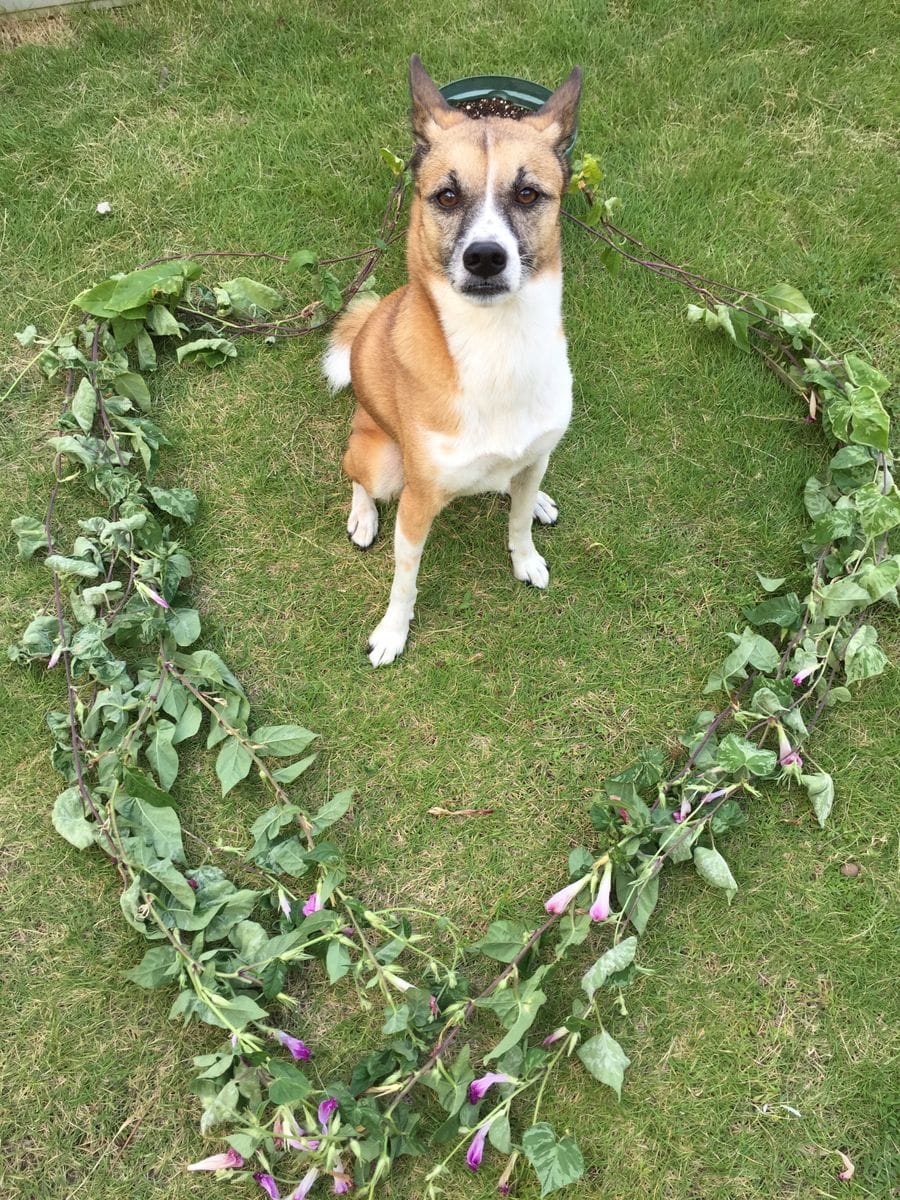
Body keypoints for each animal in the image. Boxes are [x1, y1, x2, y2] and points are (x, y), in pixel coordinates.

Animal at [324, 56, 585, 667]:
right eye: (445, 196)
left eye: (529, 194)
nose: (485, 258)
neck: (498, 343)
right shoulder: (417, 504)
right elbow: (404, 578)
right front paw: (392, 633)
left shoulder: (536, 453)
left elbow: (517, 521)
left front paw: (525, 556)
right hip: (381, 459)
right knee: (354, 473)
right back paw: (362, 515)